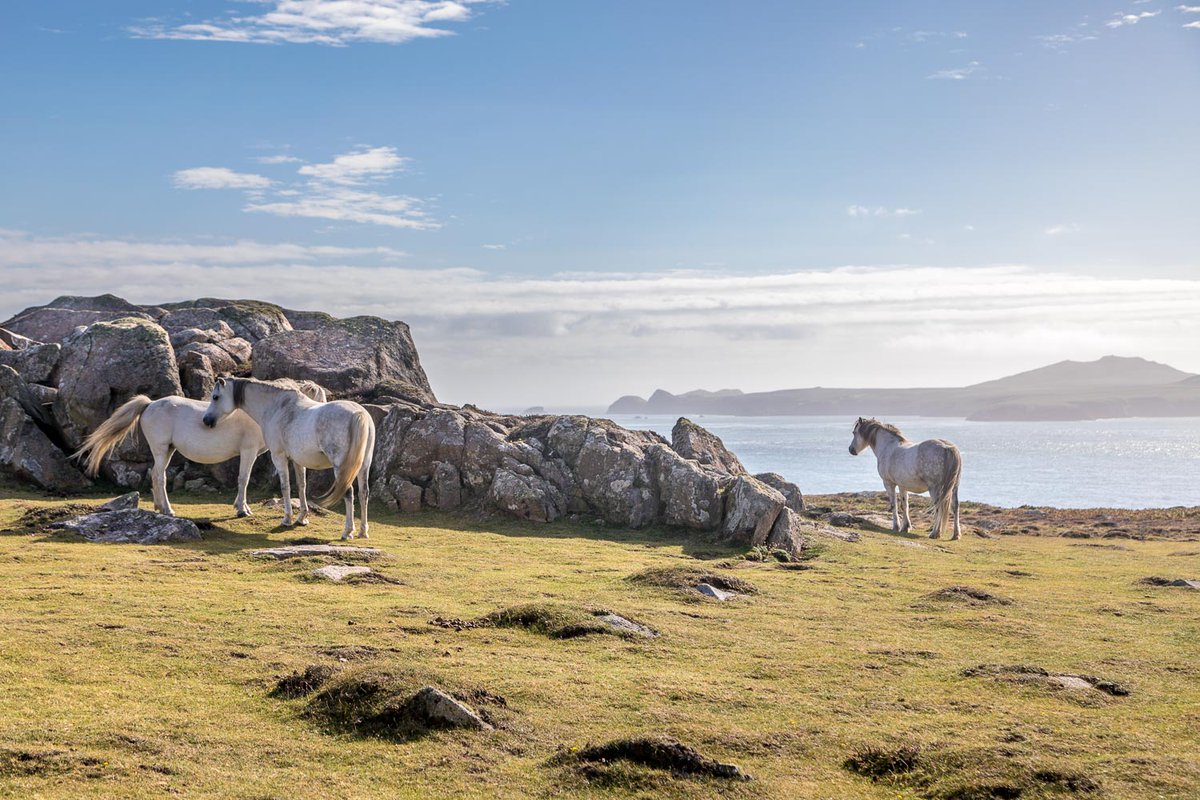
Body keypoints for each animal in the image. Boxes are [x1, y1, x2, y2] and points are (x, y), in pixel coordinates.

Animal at [75, 379, 327, 518]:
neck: (261, 413)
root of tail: (150, 404)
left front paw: (241, 506)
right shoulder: (248, 452)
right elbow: (243, 479)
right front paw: (242, 510)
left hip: (168, 450)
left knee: (155, 475)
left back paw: (159, 507)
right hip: (161, 450)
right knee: (159, 476)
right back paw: (168, 510)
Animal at [202, 377, 375, 539]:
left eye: (215, 397)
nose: (206, 420)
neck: (277, 408)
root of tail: (359, 414)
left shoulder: (279, 457)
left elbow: (285, 487)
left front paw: (287, 519)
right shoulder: (298, 461)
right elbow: (301, 486)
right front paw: (302, 518)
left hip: (341, 468)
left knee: (348, 492)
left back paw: (348, 532)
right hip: (363, 466)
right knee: (363, 493)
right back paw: (363, 532)